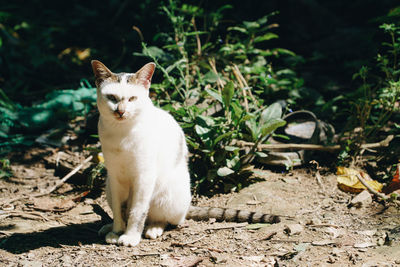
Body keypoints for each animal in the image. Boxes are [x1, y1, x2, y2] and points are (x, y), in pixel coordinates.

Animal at [91, 60, 191, 247]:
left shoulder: (144, 177)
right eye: (112, 98)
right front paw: (117, 232)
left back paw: (153, 229)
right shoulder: (115, 176)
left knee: (163, 218)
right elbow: (118, 209)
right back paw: (108, 227)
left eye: (132, 99)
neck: (121, 134)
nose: (120, 111)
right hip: (108, 187)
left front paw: (130, 236)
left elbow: (137, 211)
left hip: (169, 195)